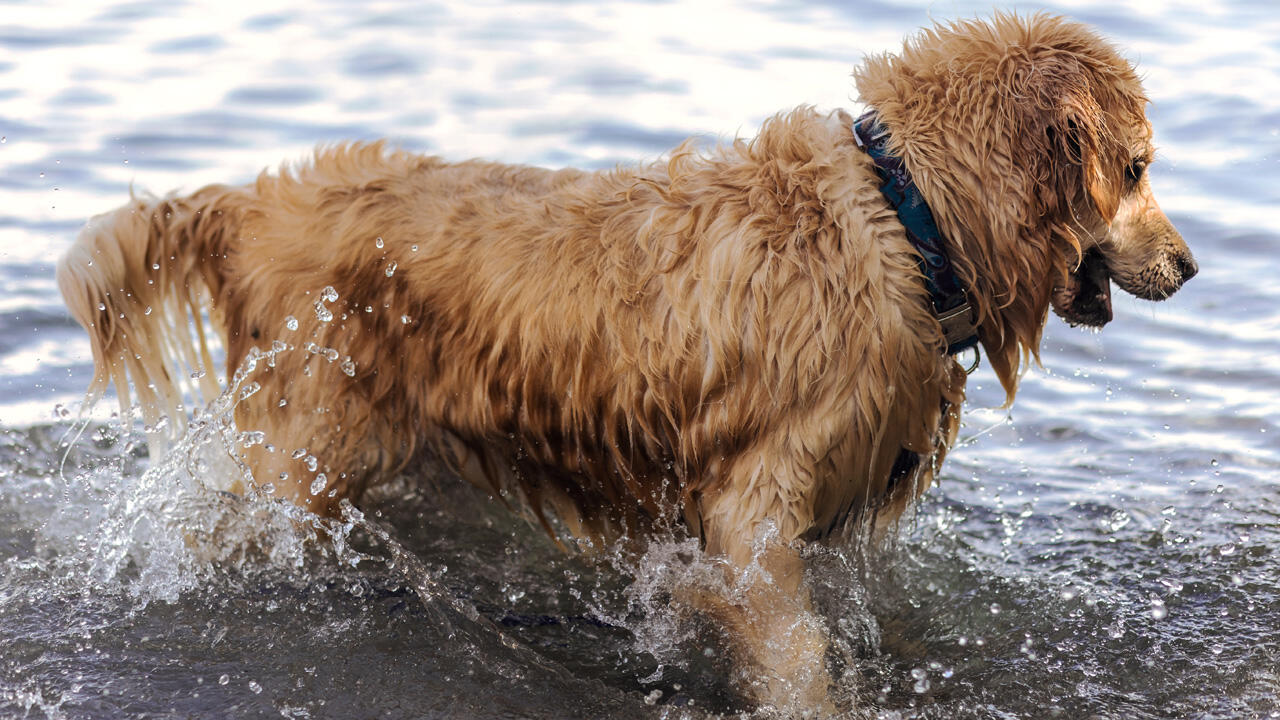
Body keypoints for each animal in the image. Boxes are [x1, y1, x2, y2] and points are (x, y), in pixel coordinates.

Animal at [60, 11, 1192, 712]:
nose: (1187, 266)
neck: (907, 225)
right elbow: (795, 652)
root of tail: (255, 202)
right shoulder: (751, 512)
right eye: (1136, 167)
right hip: (295, 460)